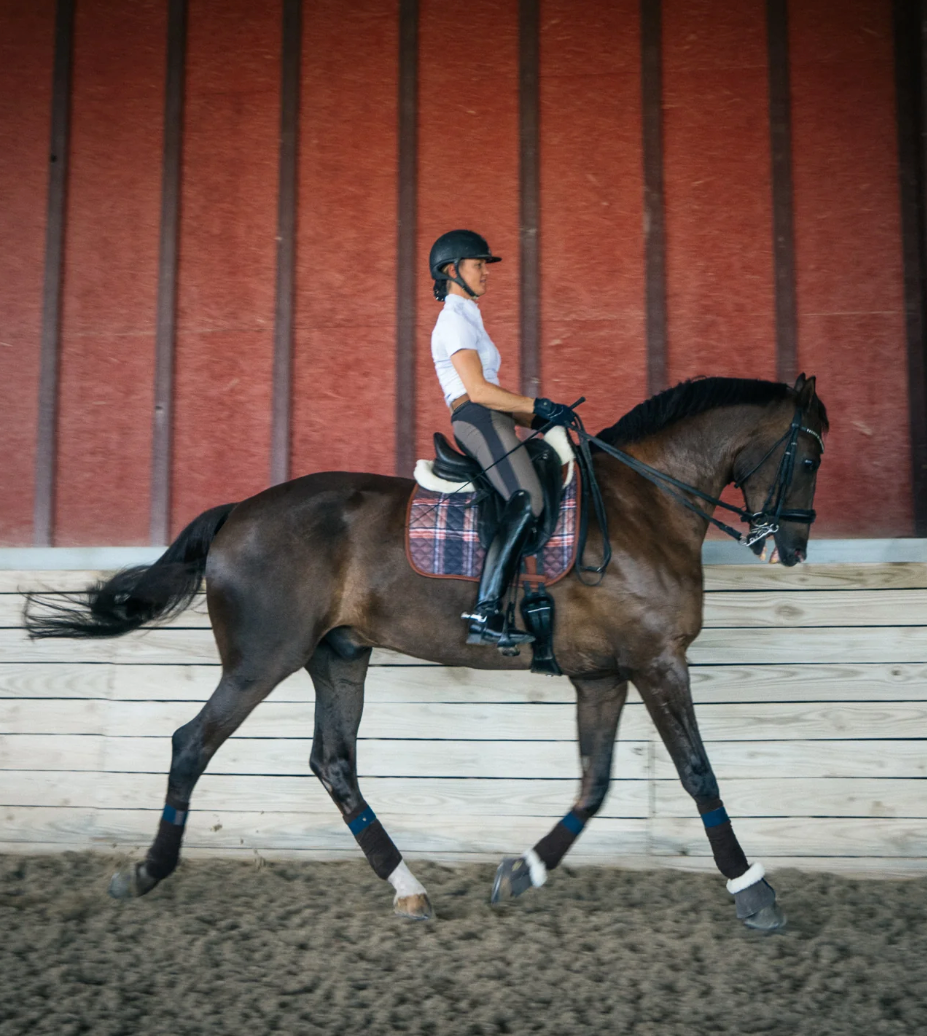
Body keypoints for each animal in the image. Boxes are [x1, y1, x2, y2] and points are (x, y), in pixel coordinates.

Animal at [25, 372, 828, 932]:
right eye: (812, 453)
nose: (789, 548)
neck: (643, 507)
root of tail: (236, 513)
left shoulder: (602, 675)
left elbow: (594, 786)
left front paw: (522, 872)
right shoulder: (656, 661)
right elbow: (698, 775)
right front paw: (753, 892)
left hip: (338, 657)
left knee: (334, 764)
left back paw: (408, 889)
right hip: (262, 661)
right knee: (192, 744)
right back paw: (146, 872)